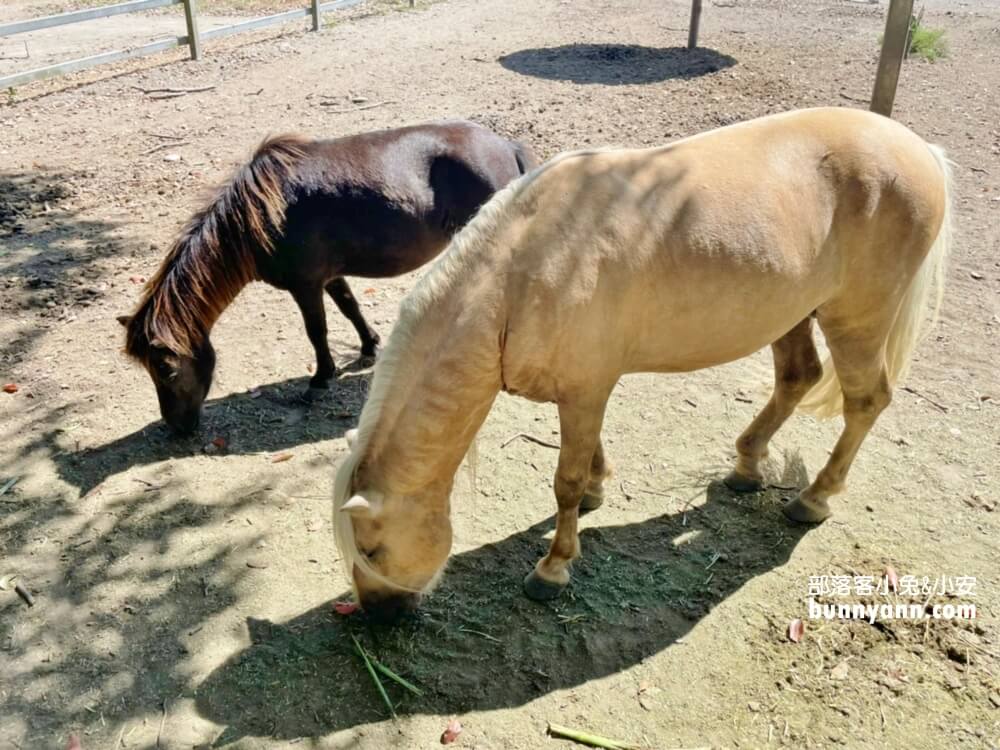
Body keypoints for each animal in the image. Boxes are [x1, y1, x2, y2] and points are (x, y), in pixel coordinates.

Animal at [119, 120, 540, 432]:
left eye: (165, 370)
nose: (176, 429)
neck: (260, 215)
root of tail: (506, 147)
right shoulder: (330, 276)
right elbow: (350, 307)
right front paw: (370, 347)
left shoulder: (305, 286)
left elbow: (316, 330)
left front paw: (320, 378)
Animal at [332, 107, 948, 624]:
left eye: (371, 549)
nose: (379, 619)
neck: (518, 276)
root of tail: (922, 150)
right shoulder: (582, 389)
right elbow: (586, 456)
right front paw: (596, 493)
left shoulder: (587, 389)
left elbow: (564, 481)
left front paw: (553, 568)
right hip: (795, 312)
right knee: (798, 377)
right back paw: (747, 467)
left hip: (857, 319)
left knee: (865, 400)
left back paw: (813, 498)